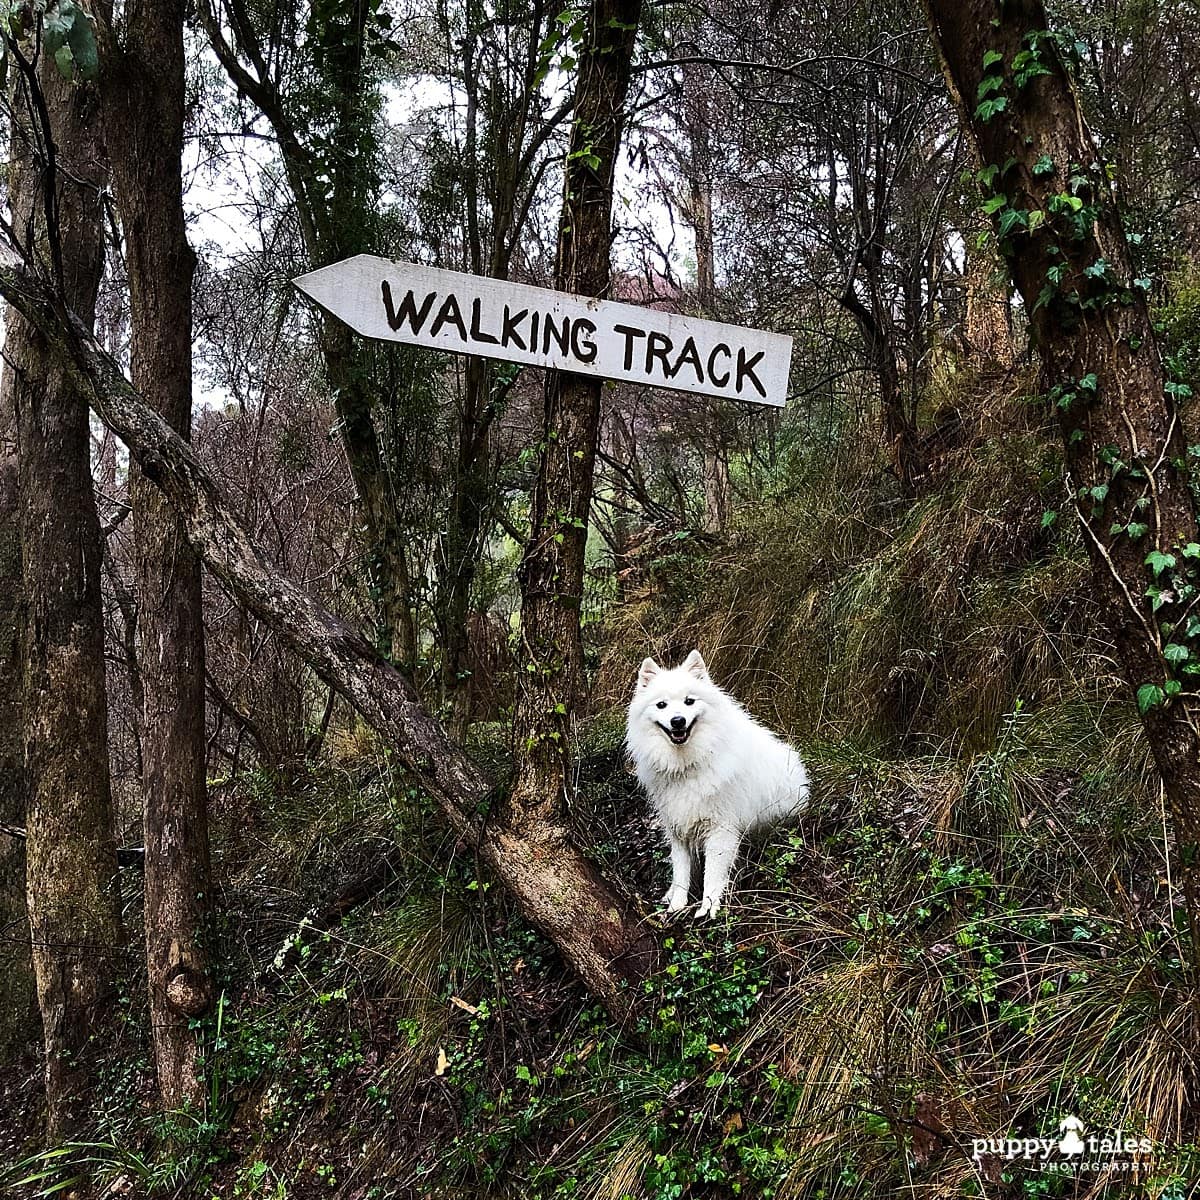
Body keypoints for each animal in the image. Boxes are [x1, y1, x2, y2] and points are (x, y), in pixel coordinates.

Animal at [624, 652, 811, 912]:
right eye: (662, 705)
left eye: (689, 701)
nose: (678, 720)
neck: (688, 764)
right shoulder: (678, 828)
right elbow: (680, 871)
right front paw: (676, 906)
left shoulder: (720, 830)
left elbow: (712, 874)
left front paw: (708, 907)